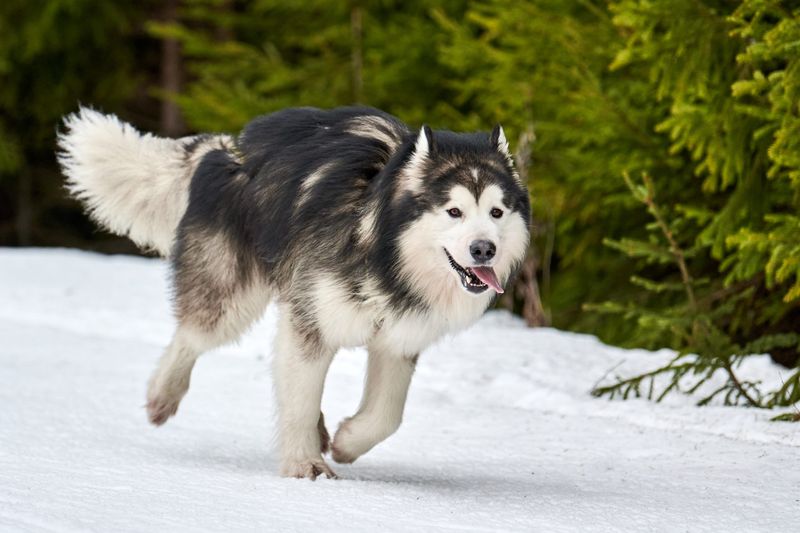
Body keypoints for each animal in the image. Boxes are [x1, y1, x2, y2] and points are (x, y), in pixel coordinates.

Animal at [57, 107, 532, 478]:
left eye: (496, 212)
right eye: (454, 211)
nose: (484, 249)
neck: (380, 251)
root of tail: (229, 147)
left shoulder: (398, 339)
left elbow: (386, 416)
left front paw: (345, 442)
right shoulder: (310, 323)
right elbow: (301, 399)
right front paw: (306, 466)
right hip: (231, 299)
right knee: (192, 335)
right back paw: (163, 395)